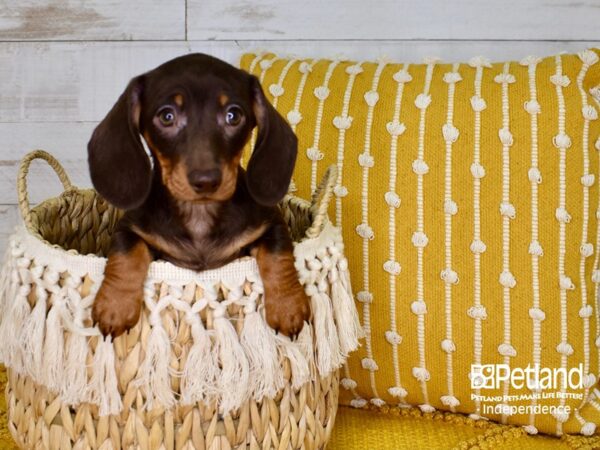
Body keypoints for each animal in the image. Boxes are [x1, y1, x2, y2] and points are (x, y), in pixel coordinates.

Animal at [88, 53, 310, 338]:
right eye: (167, 116)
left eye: (233, 115)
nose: (206, 182)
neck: (199, 213)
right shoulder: (128, 227)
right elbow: (126, 254)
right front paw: (114, 306)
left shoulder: (272, 223)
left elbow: (277, 255)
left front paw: (287, 306)